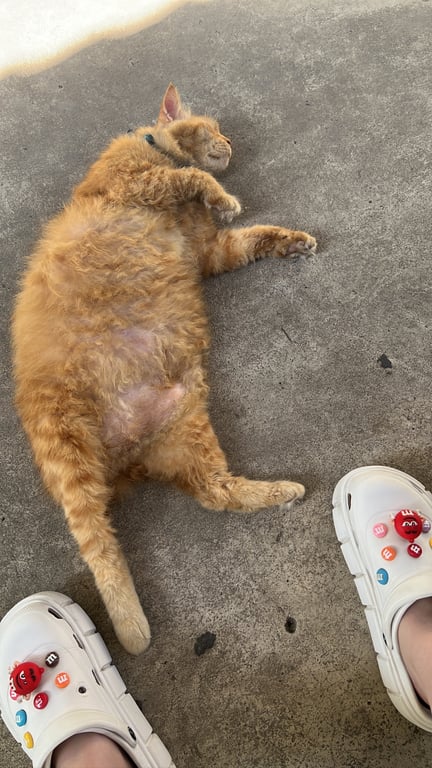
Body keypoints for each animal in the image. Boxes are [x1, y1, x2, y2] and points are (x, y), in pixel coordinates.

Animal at [12, 84, 317, 654]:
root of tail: (126, 456)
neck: (152, 145)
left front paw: (292, 240)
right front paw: (224, 196)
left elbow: (254, 235)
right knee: (98, 543)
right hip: (66, 446)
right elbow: (196, 179)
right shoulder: (146, 185)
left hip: (188, 428)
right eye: (216, 127)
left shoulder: (212, 251)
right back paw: (126, 627)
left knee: (217, 493)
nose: (230, 143)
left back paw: (283, 492)